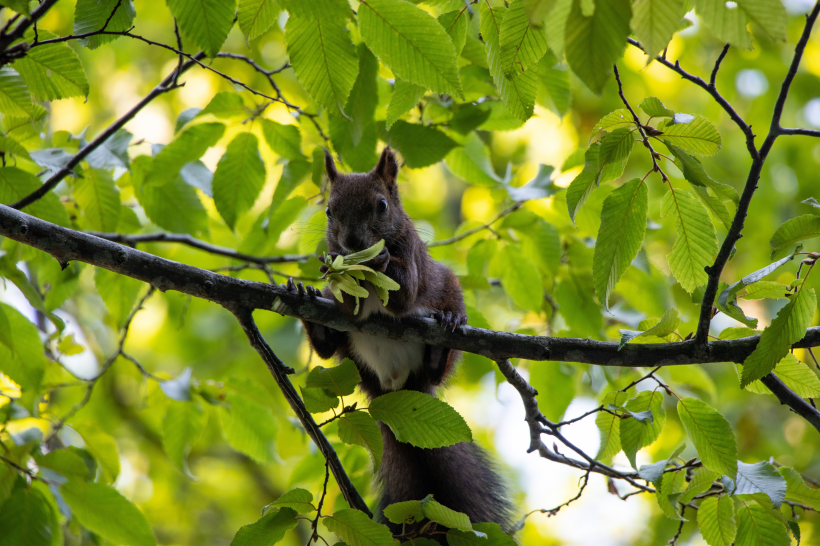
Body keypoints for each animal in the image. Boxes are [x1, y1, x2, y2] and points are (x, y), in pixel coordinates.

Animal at [284, 146, 512, 540]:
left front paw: (381, 259)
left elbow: (404, 295)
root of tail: (392, 383)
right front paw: (334, 265)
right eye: (328, 211)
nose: (352, 243)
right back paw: (310, 309)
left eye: (381, 205)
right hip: (347, 349)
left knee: (437, 370)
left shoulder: (413, 257)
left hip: (448, 296)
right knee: (329, 349)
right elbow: (348, 307)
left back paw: (444, 337)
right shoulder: (347, 304)